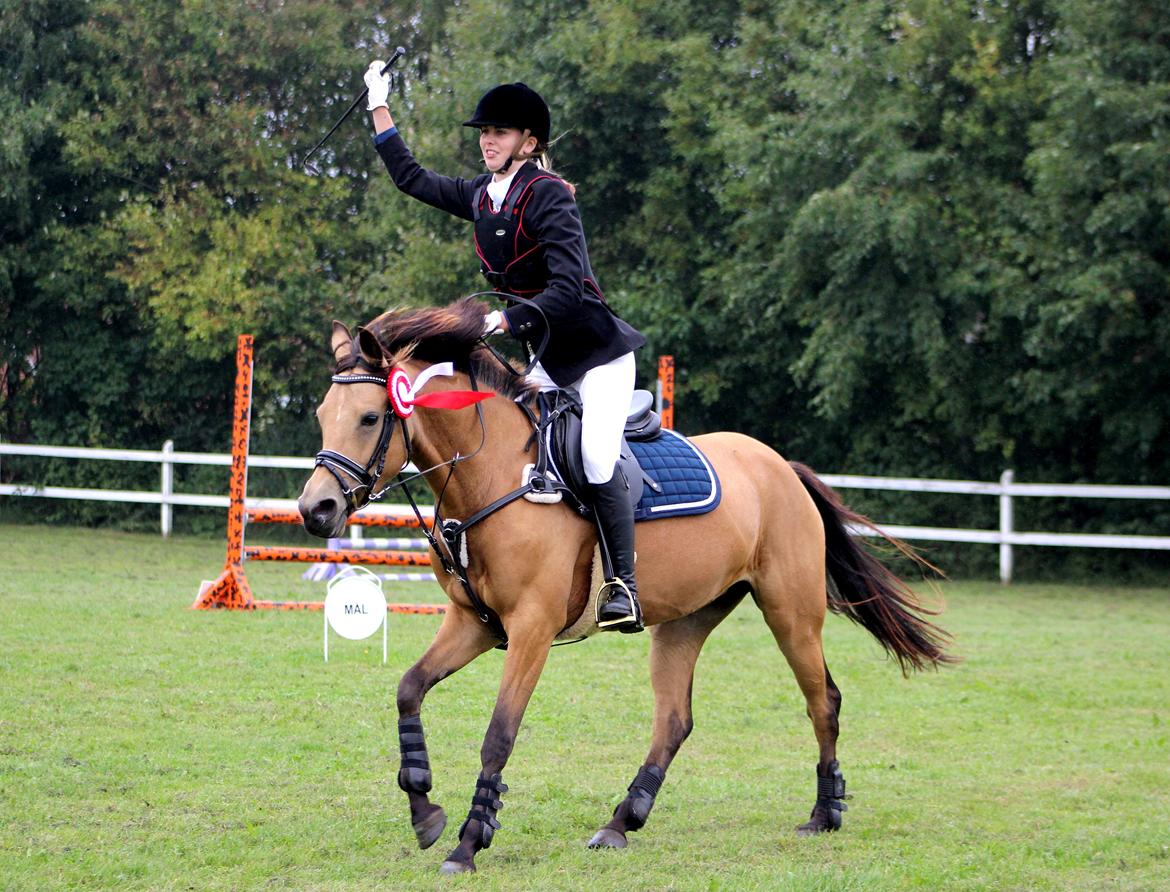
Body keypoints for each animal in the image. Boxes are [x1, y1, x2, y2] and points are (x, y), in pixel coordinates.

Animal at [297, 298, 954, 875]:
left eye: (370, 417)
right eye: (322, 416)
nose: (315, 510)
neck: (495, 476)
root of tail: (780, 466)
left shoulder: (532, 629)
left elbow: (498, 735)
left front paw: (468, 842)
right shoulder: (474, 624)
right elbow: (409, 690)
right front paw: (425, 810)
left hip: (791, 610)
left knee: (824, 701)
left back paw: (825, 811)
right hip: (687, 618)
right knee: (674, 720)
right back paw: (622, 820)